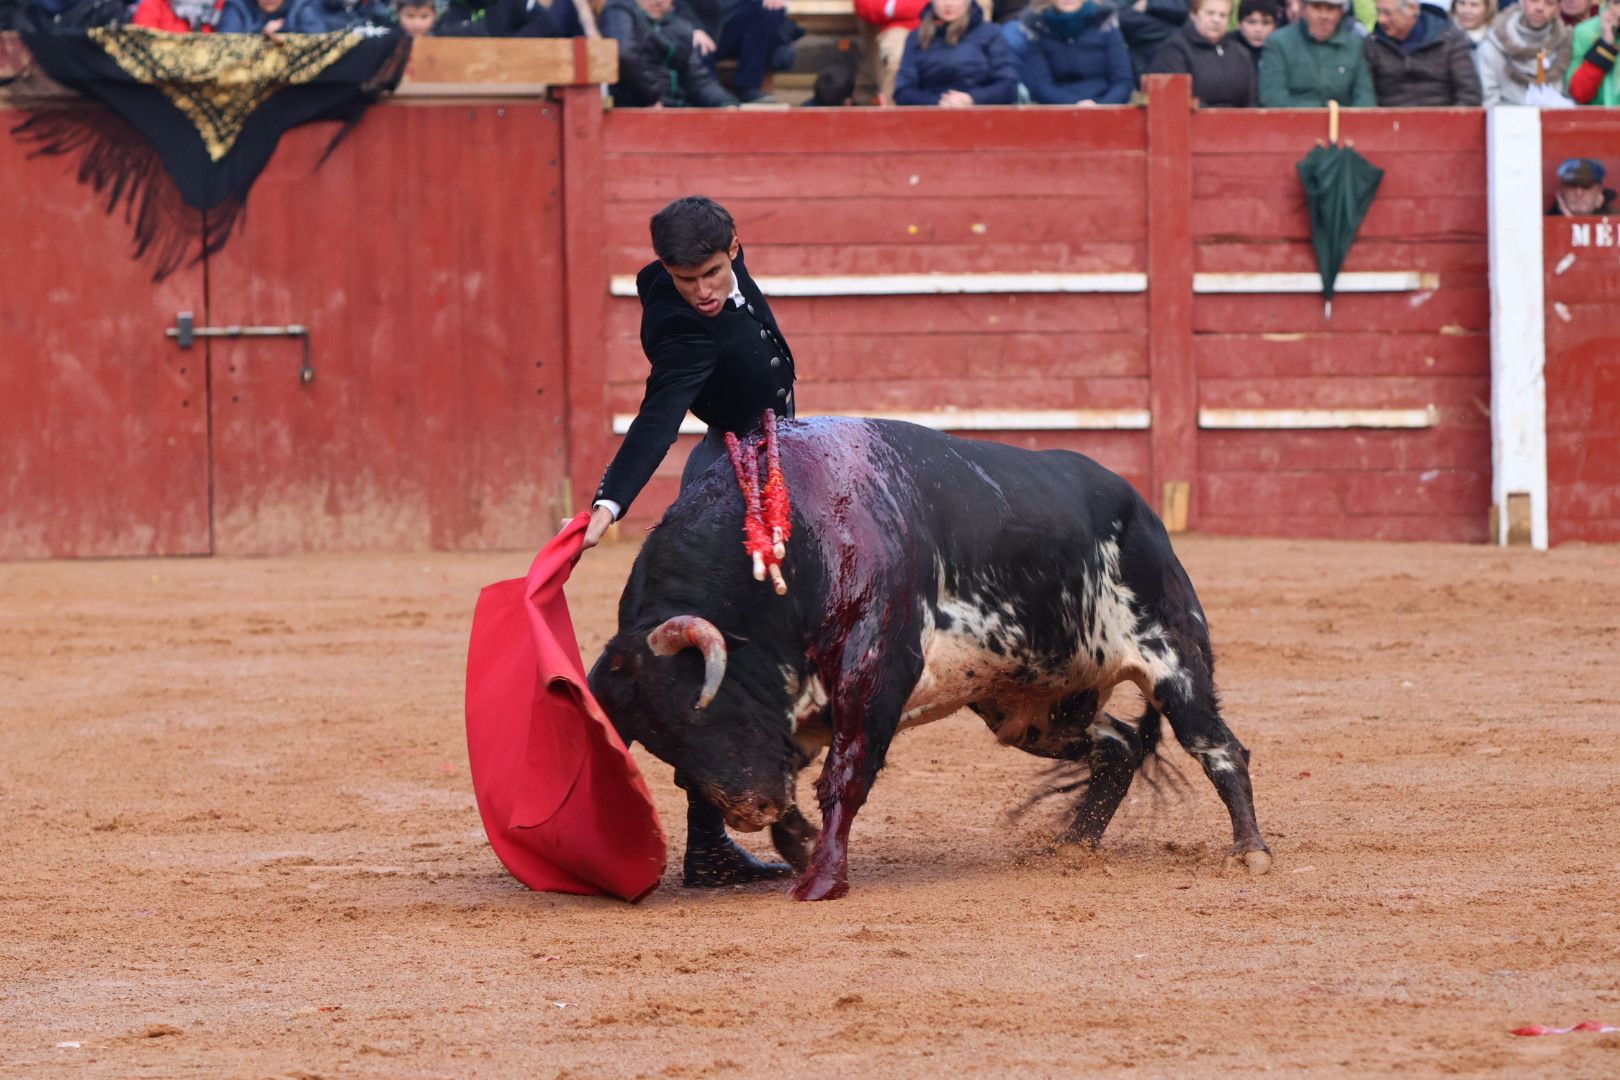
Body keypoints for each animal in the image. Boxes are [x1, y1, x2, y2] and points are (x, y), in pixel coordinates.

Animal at [589, 417, 1270, 900]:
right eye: (660, 743)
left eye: (700, 709)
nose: (746, 809)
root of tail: (1139, 507)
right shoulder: (794, 721)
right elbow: (803, 793)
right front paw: (801, 846)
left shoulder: (871, 675)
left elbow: (845, 776)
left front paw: (822, 879)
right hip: (1034, 711)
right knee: (1121, 745)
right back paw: (1071, 845)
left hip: (1173, 656)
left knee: (1218, 746)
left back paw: (1250, 852)